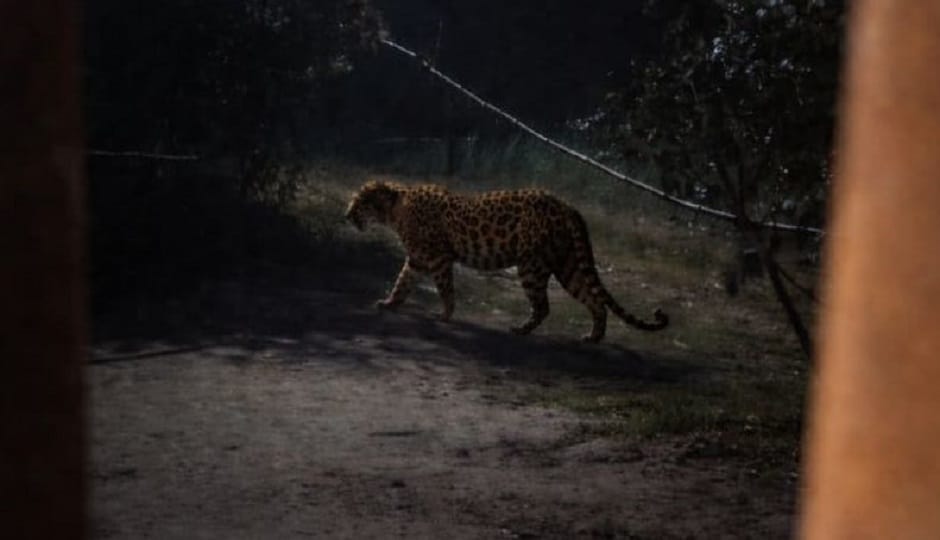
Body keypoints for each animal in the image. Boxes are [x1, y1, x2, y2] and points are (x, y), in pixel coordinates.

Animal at [344, 180, 668, 342]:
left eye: (359, 202)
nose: (346, 215)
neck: (395, 209)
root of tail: (567, 206)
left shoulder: (438, 258)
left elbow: (445, 289)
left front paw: (445, 316)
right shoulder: (417, 259)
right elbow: (402, 281)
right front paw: (389, 304)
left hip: (531, 264)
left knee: (544, 306)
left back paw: (520, 330)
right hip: (567, 264)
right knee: (594, 300)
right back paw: (592, 337)